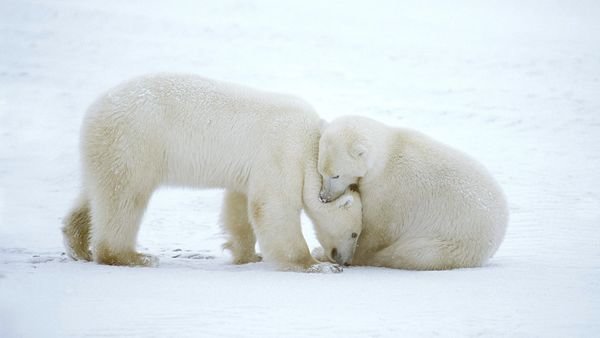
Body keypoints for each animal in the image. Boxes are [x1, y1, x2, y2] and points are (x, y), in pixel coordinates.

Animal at [61, 74, 360, 272]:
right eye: (355, 233)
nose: (344, 261)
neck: (313, 146)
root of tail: (94, 111)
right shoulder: (284, 151)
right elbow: (274, 206)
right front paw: (315, 264)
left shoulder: (253, 168)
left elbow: (239, 205)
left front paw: (248, 255)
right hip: (135, 141)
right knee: (126, 198)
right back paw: (133, 257)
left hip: (109, 149)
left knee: (97, 191)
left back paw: (78, 245)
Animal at [316, 115, 508, 270]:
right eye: (321, 172)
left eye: (336, 175)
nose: (324, 197)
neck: (385, 157)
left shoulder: (389, 191)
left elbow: (376, 230)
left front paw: (338, 254)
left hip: (448, 241)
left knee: (408, 253)